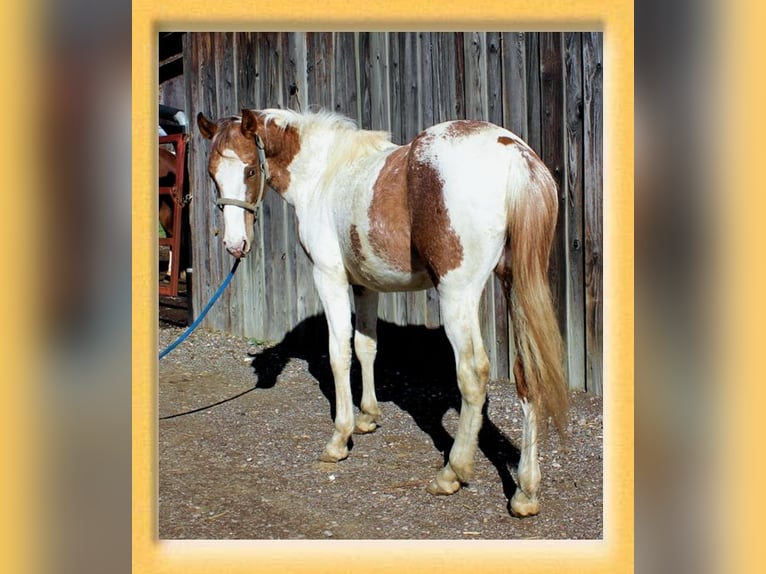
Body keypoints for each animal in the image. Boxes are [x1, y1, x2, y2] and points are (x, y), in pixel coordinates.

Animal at [198, 108, 568, 516]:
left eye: (250, 170)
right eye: (213, 174)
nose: (235, 245)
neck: (324, 172)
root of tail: (512, 152)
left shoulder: (328, 277)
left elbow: (339, 353)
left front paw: (339, 439)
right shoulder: (365, 286)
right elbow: (366, 346)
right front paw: (368, 417)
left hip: (458, 294)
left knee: (473, 374)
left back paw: (452, 473)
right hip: (515, 284)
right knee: (527, 375)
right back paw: (525, 493)